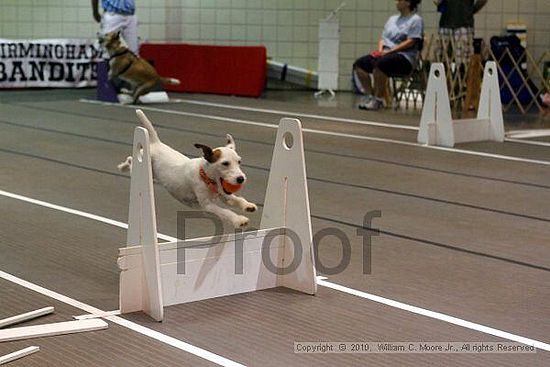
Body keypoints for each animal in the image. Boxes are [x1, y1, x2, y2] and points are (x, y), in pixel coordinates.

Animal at [118, 109, 256, 229]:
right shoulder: (208, 205)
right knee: (130, 159)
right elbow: (226, 212)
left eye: (239, 162)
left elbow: (236, 199)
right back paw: (122, 167)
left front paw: (248, 206)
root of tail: (155, 143)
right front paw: (239, 220)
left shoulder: (223, 195)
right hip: (142, 161)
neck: (204, 175)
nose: (241, 179)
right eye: (225, 163)